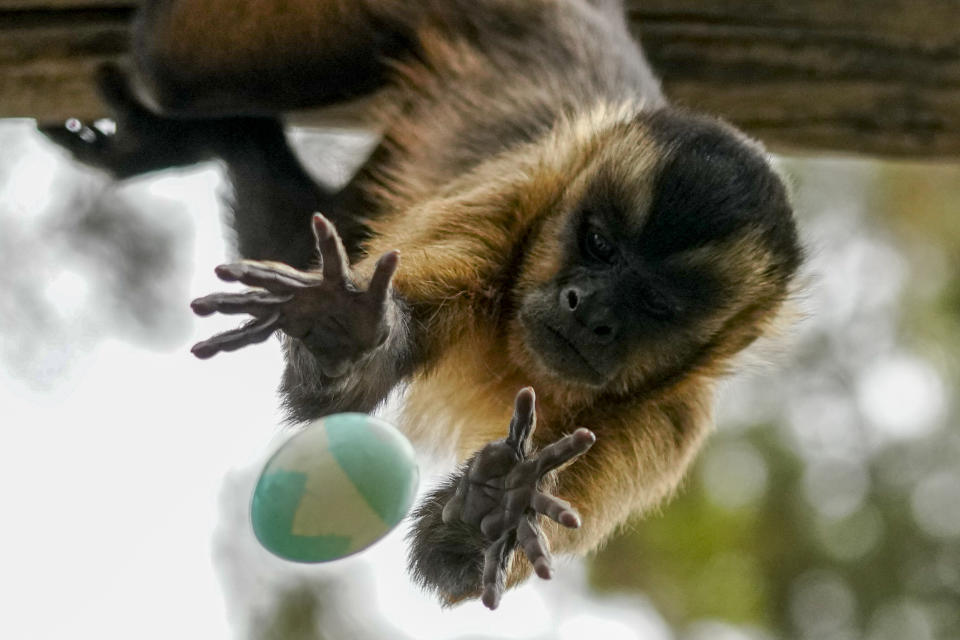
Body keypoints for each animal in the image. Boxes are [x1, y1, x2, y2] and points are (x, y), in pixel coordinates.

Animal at [48, 0, 808, 608]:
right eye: (598, 244)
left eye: (653, 304)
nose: (585, 306)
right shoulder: (511, 198)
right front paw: (346, 329)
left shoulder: (674, 420)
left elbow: (455, 563)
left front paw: (495, 504)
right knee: (167, 67)